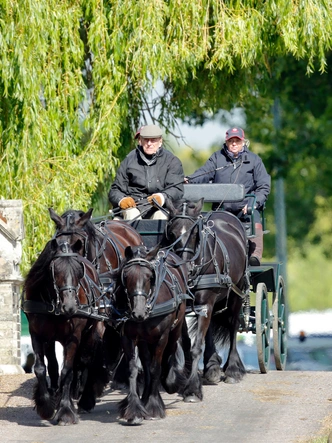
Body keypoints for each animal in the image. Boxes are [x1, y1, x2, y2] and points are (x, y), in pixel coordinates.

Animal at [22, 241, 108, 424]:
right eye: (55, 270)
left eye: (78, 270)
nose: (70, 307)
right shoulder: (37, 334)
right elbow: (41, 368)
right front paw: (46, 405)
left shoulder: (73, 336)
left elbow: (67, 371)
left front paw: (66, 411)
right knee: (55, 365)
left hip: (92, 332)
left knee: (85, 361)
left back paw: (81, 397)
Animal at [111, 245, 189, 424]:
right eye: (126, 276)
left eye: (149, 277)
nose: (138, 313)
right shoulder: (128, 337)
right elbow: (133, 369)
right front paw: (134, 409)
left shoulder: (162, 337)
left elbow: (155, 368)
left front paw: (154, 406)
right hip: (143, 340)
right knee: (146, 362)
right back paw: (144, 398)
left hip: (175, 329)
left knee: (169, 352)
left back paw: (167, 383)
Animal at [164, 199, 249, 404]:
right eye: (171, 233)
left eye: (195, 234)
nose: (184, 268)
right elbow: (186, 344)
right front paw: (184, 380)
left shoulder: (206, 304)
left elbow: (196, 348)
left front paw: (193, 390)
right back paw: (212, 367)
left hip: (237, 291)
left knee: (233, 325)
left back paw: (232, 369)